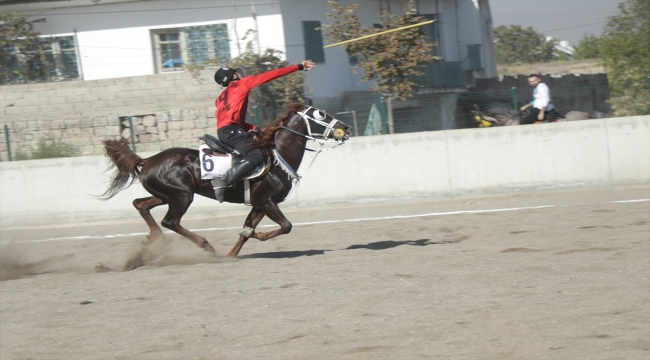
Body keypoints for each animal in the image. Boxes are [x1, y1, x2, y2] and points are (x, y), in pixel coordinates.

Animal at [98, 104, 350, 258]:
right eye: (321, 114)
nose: (345, 127)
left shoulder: (259, 204)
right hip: (182, 196)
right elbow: (285, 226)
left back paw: (152, 238)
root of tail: (147, 159)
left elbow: (247, 230)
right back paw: (205, 246)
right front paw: (257, 236)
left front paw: (234, 251)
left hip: (165, 195)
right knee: (170, 221)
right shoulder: (266, 201)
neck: (276, 157)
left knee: (140, 204)